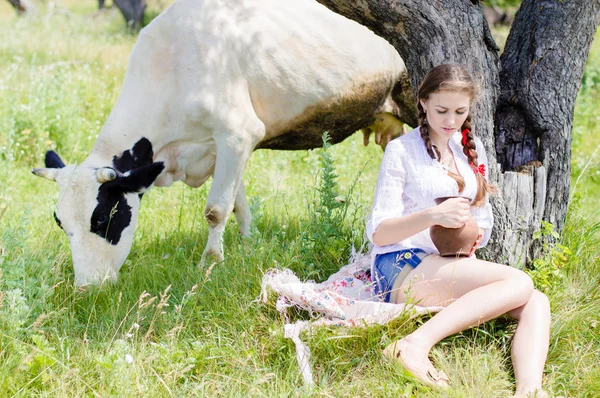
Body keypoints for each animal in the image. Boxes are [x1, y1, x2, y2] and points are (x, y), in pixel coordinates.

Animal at [34, 0, 408, 286]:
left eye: (103, 218)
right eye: (61, 223)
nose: (87, 286)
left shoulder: (237, 133)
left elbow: (215, 209)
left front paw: (211, 262)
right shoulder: (220, 150)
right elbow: (238, 203)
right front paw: (249, 245)